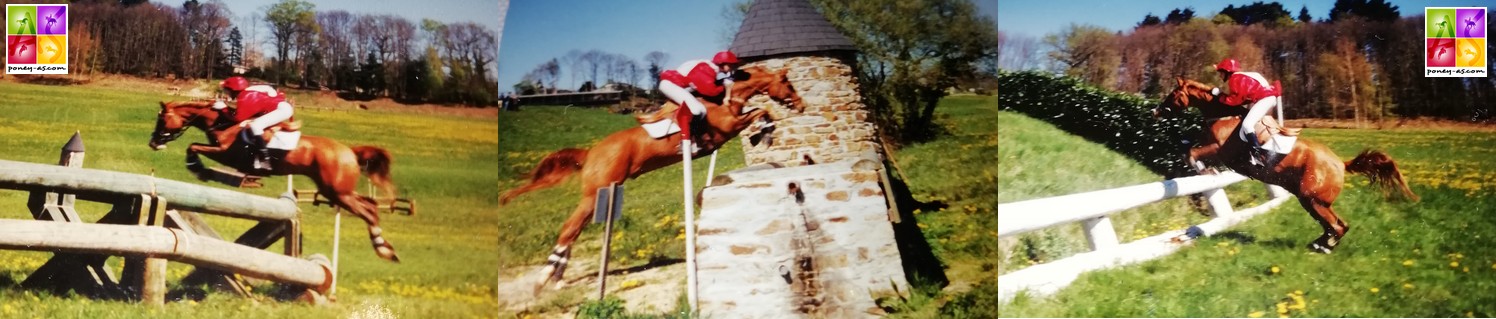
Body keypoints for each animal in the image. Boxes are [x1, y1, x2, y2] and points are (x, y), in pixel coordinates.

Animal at [147, 101, 403, 263]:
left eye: (162, 120)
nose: (153, 143)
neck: (226, 123)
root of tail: (349, 150)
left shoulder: (225, 153)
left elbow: (193, 147)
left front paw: (198, 168)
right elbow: (195, 145)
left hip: (338, 192)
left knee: (368, 212)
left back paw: (383, 249)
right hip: (338, 191)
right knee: (371, 206)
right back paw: (385, 246)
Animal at [499, 65, 807, 293]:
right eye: (789, 85)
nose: (802, 106)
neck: (726, 96)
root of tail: (590, 152)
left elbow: (762, 112)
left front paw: (763, 134)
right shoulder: (728, 127)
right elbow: (761, 112)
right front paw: (763, 135)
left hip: (600, 195)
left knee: (573, 231)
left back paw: (558, 277)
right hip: (596, 193)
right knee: (568, 229)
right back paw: (545, 278)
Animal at [1154, 78, 1412, 253]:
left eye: (1174, 93)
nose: (1156, 110)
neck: (1222, 115)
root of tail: (1340, 163)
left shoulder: (1221, 150)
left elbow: (1192, 152)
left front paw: (1203, 169)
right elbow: (1189, 146)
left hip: (1313, 199)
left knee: (1336, 226)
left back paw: (1323, 247)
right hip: (1310, 200)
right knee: (1338, 225)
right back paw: (1319, 244)